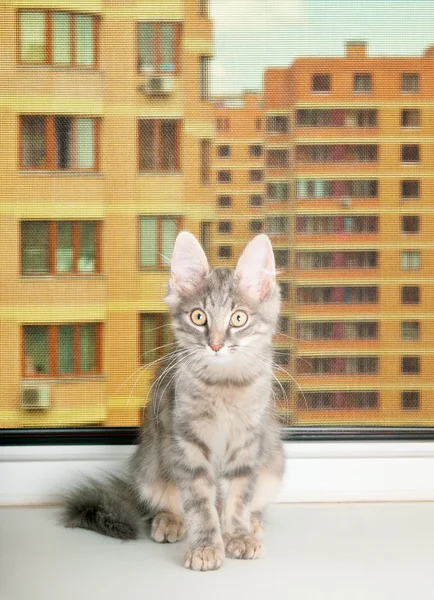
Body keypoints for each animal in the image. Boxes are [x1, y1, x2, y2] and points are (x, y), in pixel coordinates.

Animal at [62, 231, 284, 572]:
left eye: (238, 318)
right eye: (198, 316)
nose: (215, 345)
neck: (224, 385)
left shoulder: (249, 443)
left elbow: (237, 499)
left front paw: (238, 535)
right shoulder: (187, 441)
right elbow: (201, 505)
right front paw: (206, 547)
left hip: (273, 463)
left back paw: (253, 523)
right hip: (150, 465)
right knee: (169, 502)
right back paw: (169, 521)